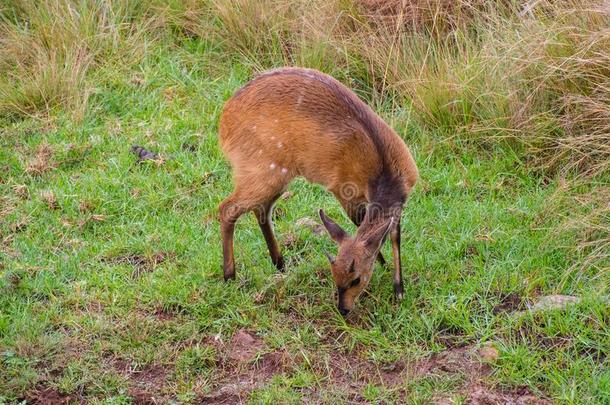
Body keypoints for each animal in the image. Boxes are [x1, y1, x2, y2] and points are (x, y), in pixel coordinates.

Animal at [218, 66, 418, 314]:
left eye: (355, 280)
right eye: (336, 277)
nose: (343, 309)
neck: (384, 171)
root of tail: (224, 122)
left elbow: (394, 233)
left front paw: (398, 288)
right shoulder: (344, 189)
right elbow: (361, 225)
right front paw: (383, 266)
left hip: (277, 176)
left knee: (260, 208)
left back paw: (280, 263)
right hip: (262, 170)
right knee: (227, 208)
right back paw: (230, 276)